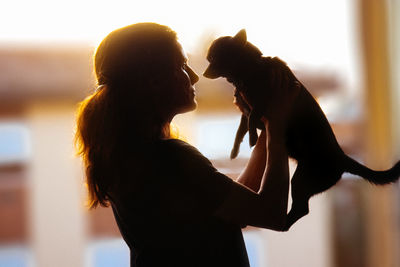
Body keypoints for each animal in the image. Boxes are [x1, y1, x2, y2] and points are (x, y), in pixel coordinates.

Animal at [203, 28, 400, 230]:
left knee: (302, 209)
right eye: (209, 59)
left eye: (214, 58)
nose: (203, 73)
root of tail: (342, 158)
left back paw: (282, 222)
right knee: (301, 208)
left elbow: (251, 118)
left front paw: (251, 138)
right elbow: (241, 127)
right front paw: (236, 149)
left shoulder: (261, 102)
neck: (250, 71)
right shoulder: (244, 107)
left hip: (302, 180)